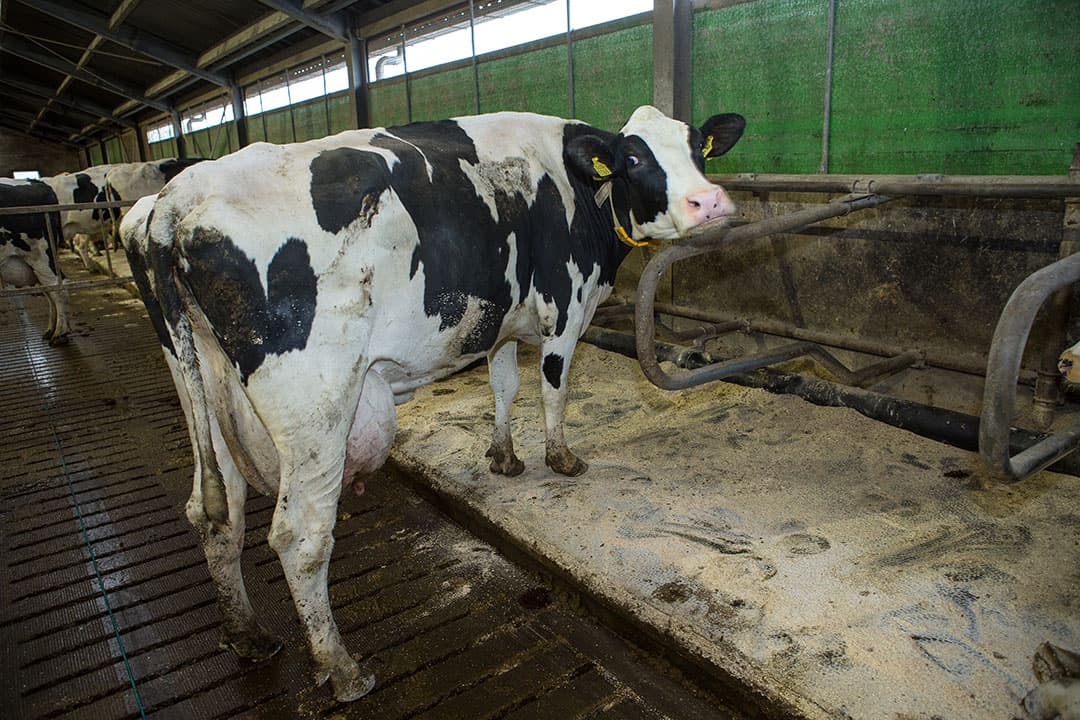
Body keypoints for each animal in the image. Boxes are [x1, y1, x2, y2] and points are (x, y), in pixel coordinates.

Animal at [0, 178, 70, 345]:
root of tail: (36, 182)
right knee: (49, 290)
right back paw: (51, 329)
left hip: (41, 256)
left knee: (58, 288)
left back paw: (60, 333)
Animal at [120, 105, 746, 701]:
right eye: (634, 159)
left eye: (698, 147)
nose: (709, 201)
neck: (572, 184)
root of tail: (175, 199)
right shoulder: (564, 308)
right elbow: (554, 388)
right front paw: (561, 459)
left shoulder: (500, 323)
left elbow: (504, 385)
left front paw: (503, 456)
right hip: (315, 407)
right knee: (299, 536)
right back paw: (342, 668)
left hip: (204, 389)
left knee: (214, 513)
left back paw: (249, 635)